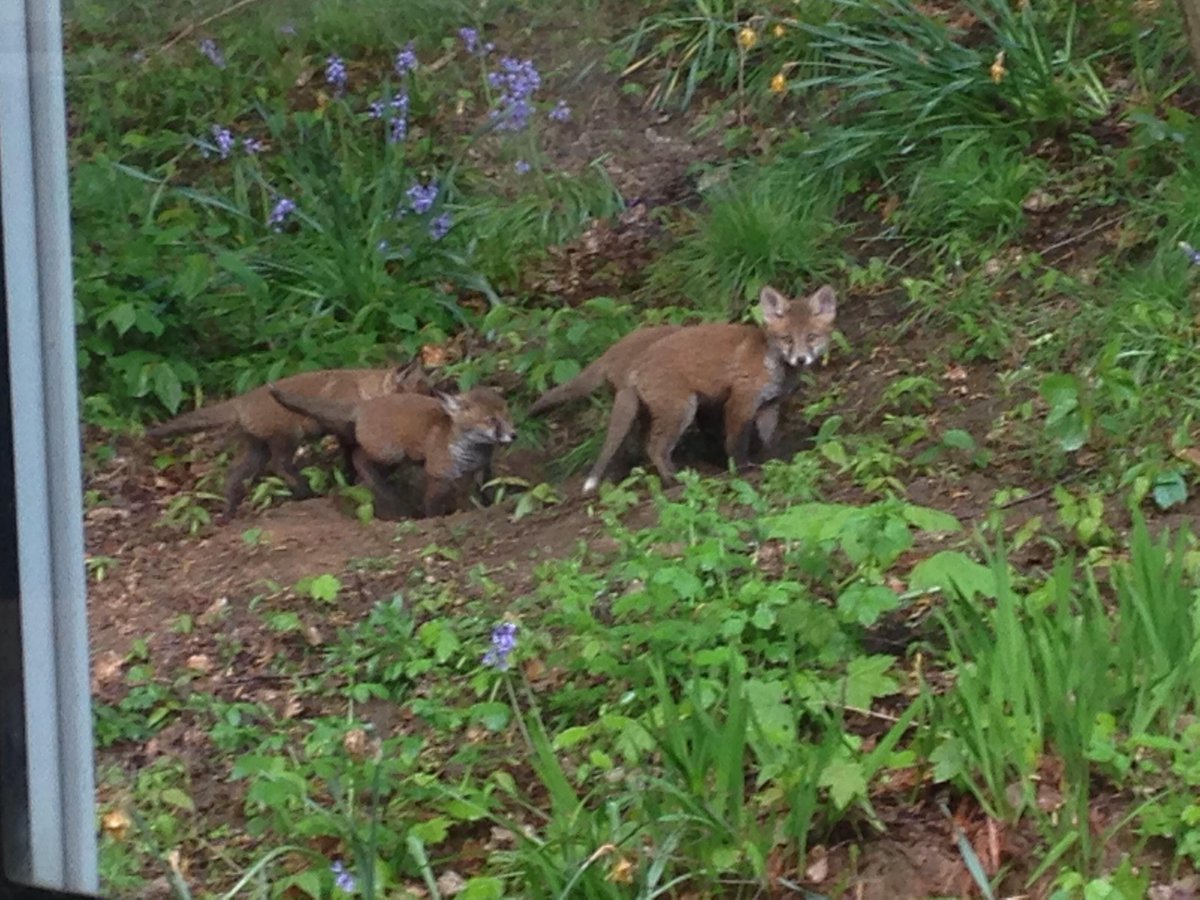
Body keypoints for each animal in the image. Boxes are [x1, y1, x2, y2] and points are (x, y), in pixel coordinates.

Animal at [147, 361, 431, 517]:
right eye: (424, 391)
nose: (439, 399)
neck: (365, 391)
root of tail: (241, 401)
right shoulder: (343, 429)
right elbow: (353, 458)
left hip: (256, 449)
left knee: (234, 475)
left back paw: (229, 512)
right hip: (284, 438)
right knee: (280, 465)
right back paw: (305, 492)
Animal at [266, 384, 516, 519]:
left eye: (507, 415)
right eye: (491, 420)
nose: (514, 435)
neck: (470, 452)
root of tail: (364, 405)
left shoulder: (478, 472)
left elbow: (483, 495)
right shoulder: (438, 473)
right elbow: (433, 504)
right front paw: (432, 519)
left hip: (396, 460)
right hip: (389, 454)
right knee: (358, 458)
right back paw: (389, 497)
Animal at [581, 283, 837, 494]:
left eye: (811, 337)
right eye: (787, 339)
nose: (801, 359)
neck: (770, 362)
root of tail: (636, 364)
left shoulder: (768, 406)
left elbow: (770, 439)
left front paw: (775, 459)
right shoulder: (740, 401)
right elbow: (736, 443)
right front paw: (741, 470)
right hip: (681, 411)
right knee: (655, 448)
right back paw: (674, 481)